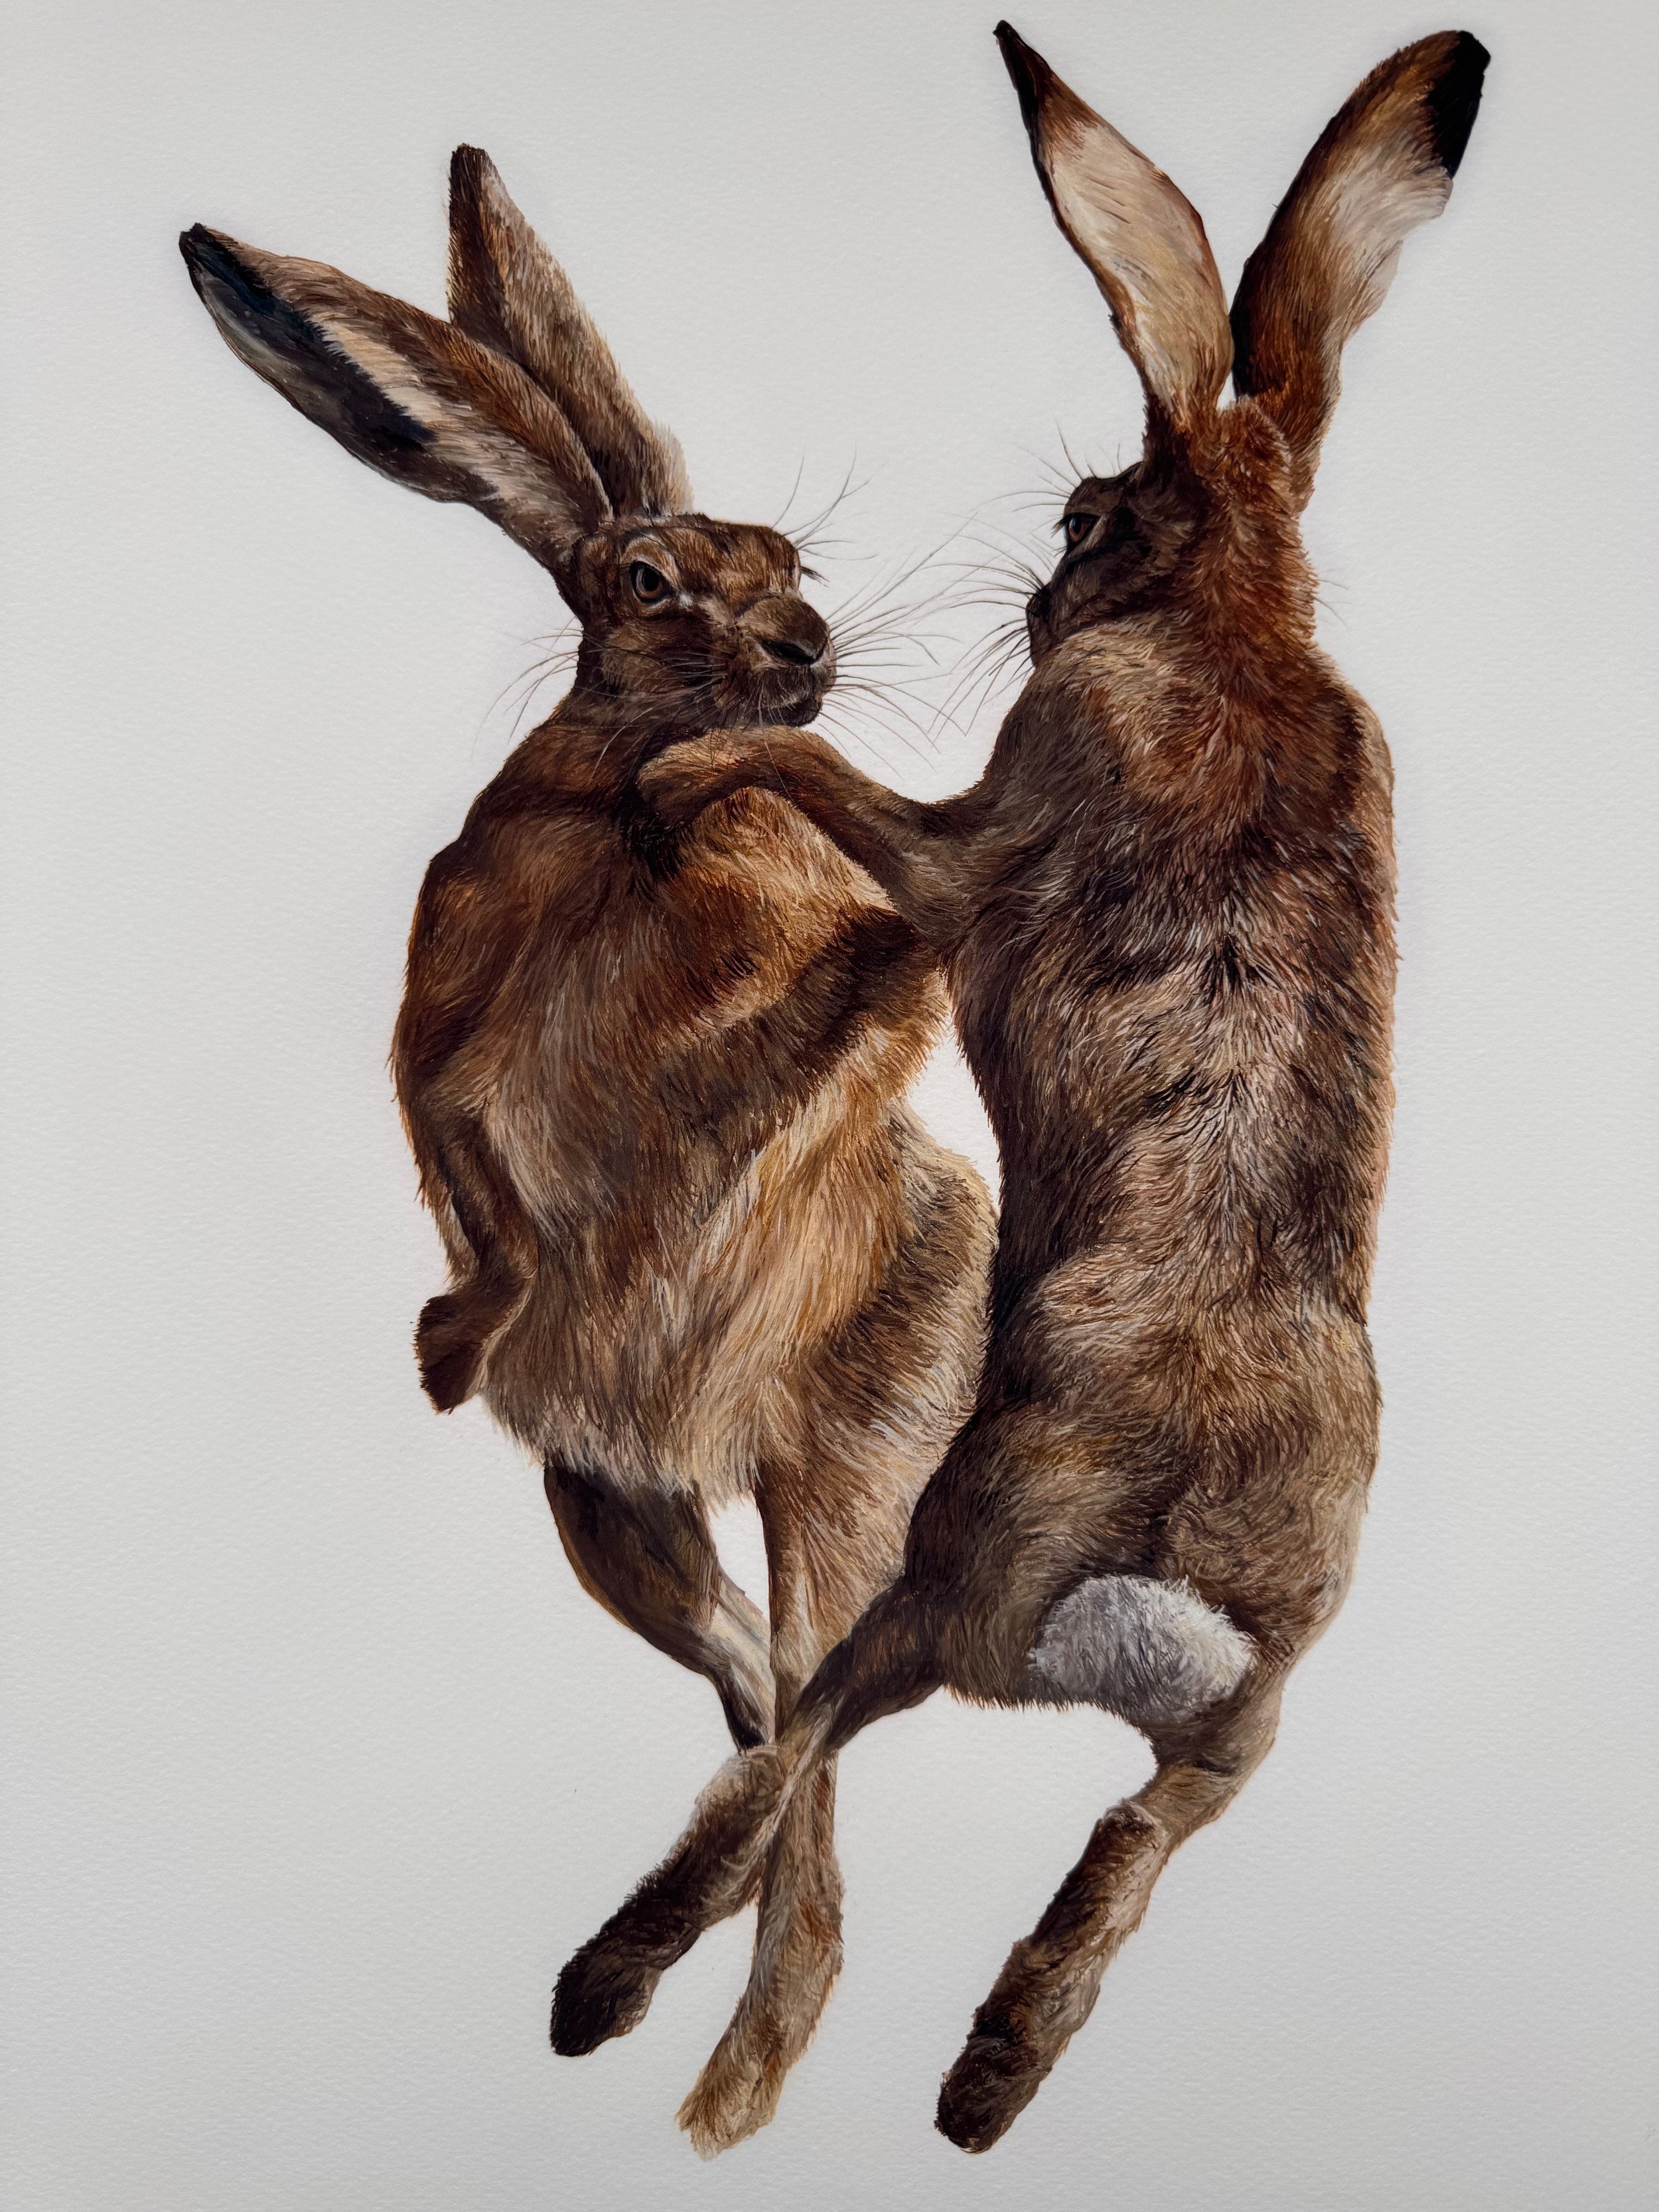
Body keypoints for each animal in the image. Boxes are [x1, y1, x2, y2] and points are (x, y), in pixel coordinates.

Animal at [180, 145, 994, 2147]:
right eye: (645, 577)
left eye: (790, 564)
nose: (802, 654)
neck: (639, 798)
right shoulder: (446, 1030)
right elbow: (482, 1176)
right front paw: (452, 1340)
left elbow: (826, 1051)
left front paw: (884, 955)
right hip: (606, 1514)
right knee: (769, 1703)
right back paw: (645, 2014)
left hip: (842, 1471)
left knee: (812, 1741)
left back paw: (654, 2023)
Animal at [551, 24, 1488, 2155]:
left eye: (1082, 518)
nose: (1046, 588)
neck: (1236, 615)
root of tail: (1174, 1574)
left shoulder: (974, 843)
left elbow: (837, 793)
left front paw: (679, 785)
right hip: (1244, 1713)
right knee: (1137, 1834)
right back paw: (988, 2082)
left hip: (954, 1555)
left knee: (802, 1733)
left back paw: (605, 1987)